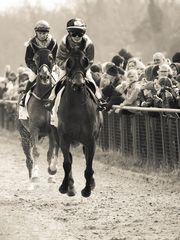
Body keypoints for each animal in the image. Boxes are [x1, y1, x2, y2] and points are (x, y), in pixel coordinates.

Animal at [17, 47, 58, 185]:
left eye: (50, 57)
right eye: (36, 58)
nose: (44, 76)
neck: (44, 98)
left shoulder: (52, 130)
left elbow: (50, 153)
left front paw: (51, 175)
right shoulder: (34, 128)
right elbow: (35, 152)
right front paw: (35, 175)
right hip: (24, 134)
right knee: (28, 158)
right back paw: (31, 177)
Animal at [55, 47, 102, 197]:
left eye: (85, 61)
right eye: (68, 63)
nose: (78, 84)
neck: (76, 109)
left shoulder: (91, 140)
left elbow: (89, 166)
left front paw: (87, 189)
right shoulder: (64, 137)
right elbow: (67, 163)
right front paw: (65, 187)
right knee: (69, 159)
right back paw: (70, 186)